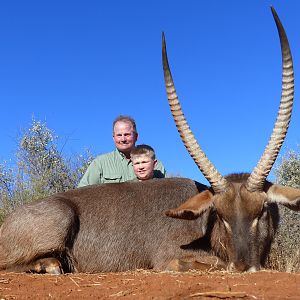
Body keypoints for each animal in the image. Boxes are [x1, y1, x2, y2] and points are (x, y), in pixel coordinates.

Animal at [0, 7, 298, 274]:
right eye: (221, 215)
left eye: (261, 211)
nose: (243, 266)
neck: (205, 227)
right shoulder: (171, 257)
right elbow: (201, 263)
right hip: (62, 216)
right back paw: (49, 265)